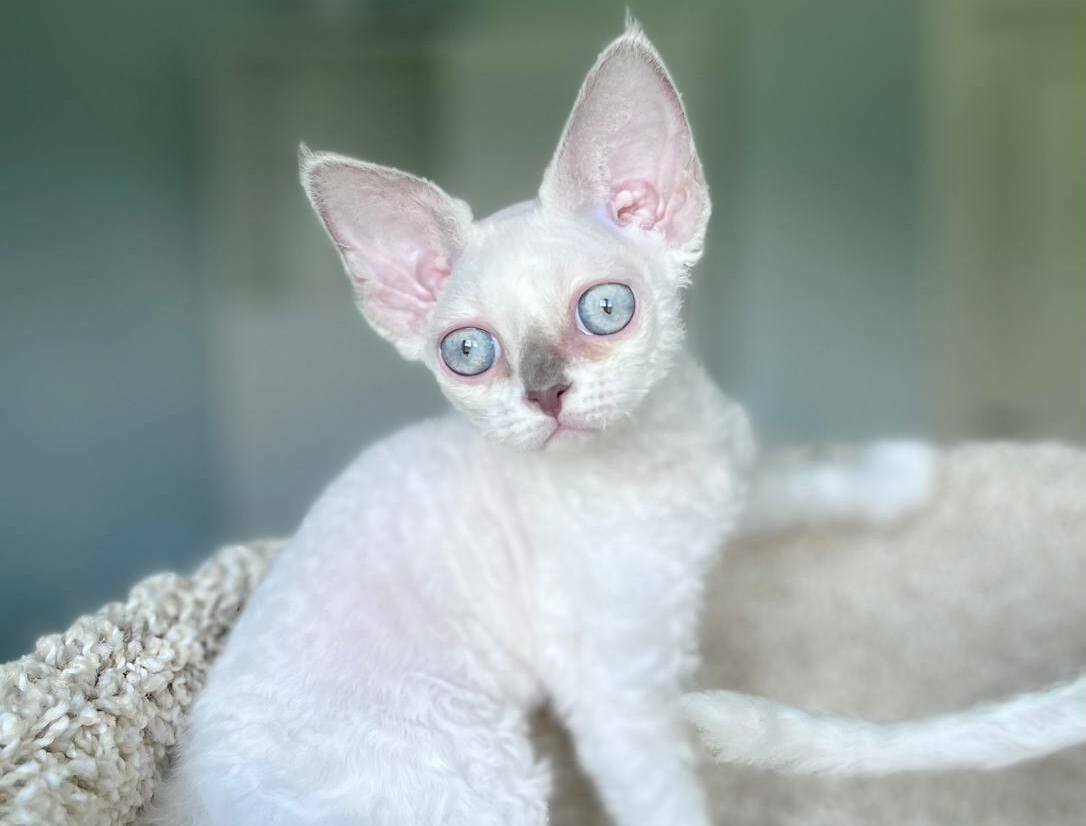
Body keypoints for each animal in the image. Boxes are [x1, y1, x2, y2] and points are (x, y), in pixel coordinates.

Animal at [157, 19, 755, 824]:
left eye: (605, 309)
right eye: (469, 352)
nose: (545, 392)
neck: (657, 461)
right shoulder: (616, 686)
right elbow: (666, 798)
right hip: (486, 774)